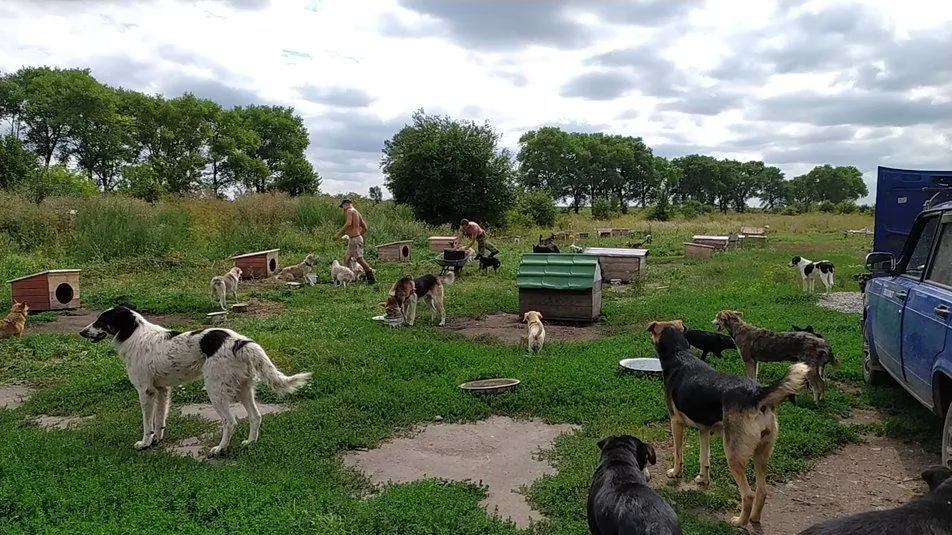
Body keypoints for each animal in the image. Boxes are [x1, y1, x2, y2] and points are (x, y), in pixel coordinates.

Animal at [77, 306, 310, 456]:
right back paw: (250, 442)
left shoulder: (145, 391)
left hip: (215, 390)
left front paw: (144, 443)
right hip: (243, 388)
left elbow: (147, 423)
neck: (135, 335)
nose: (81, 331)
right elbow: (159, 420)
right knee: (255, 416)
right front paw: (157, 440)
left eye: (101, 321)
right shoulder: (162, 390)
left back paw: (220, 449)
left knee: (230, 422)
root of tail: (240, 342)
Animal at [644, 318, 808, 528]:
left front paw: (675, 473)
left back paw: (739, 522)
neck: (679, 353)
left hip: (733, 454)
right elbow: (704, 459)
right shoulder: (704, 429)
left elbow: (678, 453)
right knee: (762, 490)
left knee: (748, 494)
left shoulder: (676, 422)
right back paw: (754, 518)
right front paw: (703, 480)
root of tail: (757, 394)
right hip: (762, 453)